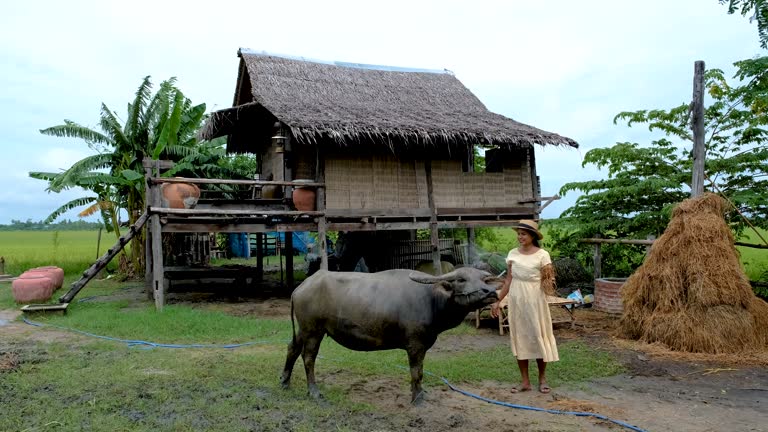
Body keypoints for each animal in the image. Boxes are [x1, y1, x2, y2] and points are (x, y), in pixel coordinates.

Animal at [280, 268, 500, 404]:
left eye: (483, 279)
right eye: (461, 279)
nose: (490, 292)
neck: (431, 300)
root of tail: (301, 287)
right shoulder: (415, 345)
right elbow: (417, 372)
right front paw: (417, 398)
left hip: (303, 330)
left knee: (292, 348)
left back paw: (284, 382)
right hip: (313, 330)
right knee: (308, 357)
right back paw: (314, 392)